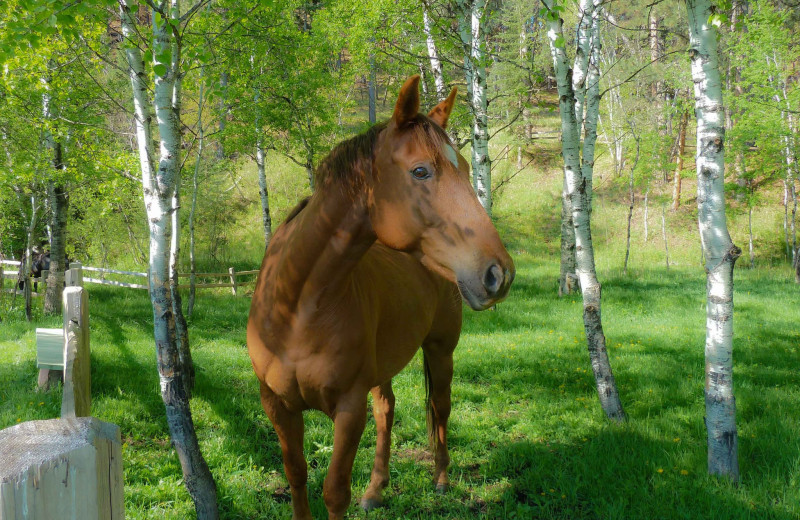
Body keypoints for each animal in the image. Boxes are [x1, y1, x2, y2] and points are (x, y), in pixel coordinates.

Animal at [247, 75, 516, 516]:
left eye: (463, 168)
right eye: (421, 171)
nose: (499, 273)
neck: (296, 307)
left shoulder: (348, 409)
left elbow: (335, 491)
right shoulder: (277, 406)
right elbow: (297, 476)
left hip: (440, 350)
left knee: (440, 406)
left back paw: (441, 479)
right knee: (386, 409)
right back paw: (376, 489)